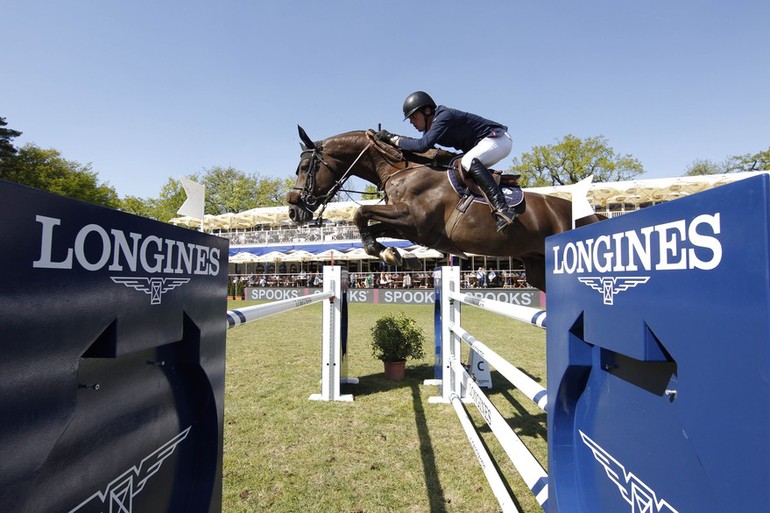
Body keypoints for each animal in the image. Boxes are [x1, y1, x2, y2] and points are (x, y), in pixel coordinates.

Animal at [284, 126, 604, 290]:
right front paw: (394, 254)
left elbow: (360, 212)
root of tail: (594, 215)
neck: (401, 168)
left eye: (305, 168)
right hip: (538, 268)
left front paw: (387, 252)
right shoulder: (411, 227)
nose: (293, 211)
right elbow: (372, 224)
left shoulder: (415, 220)